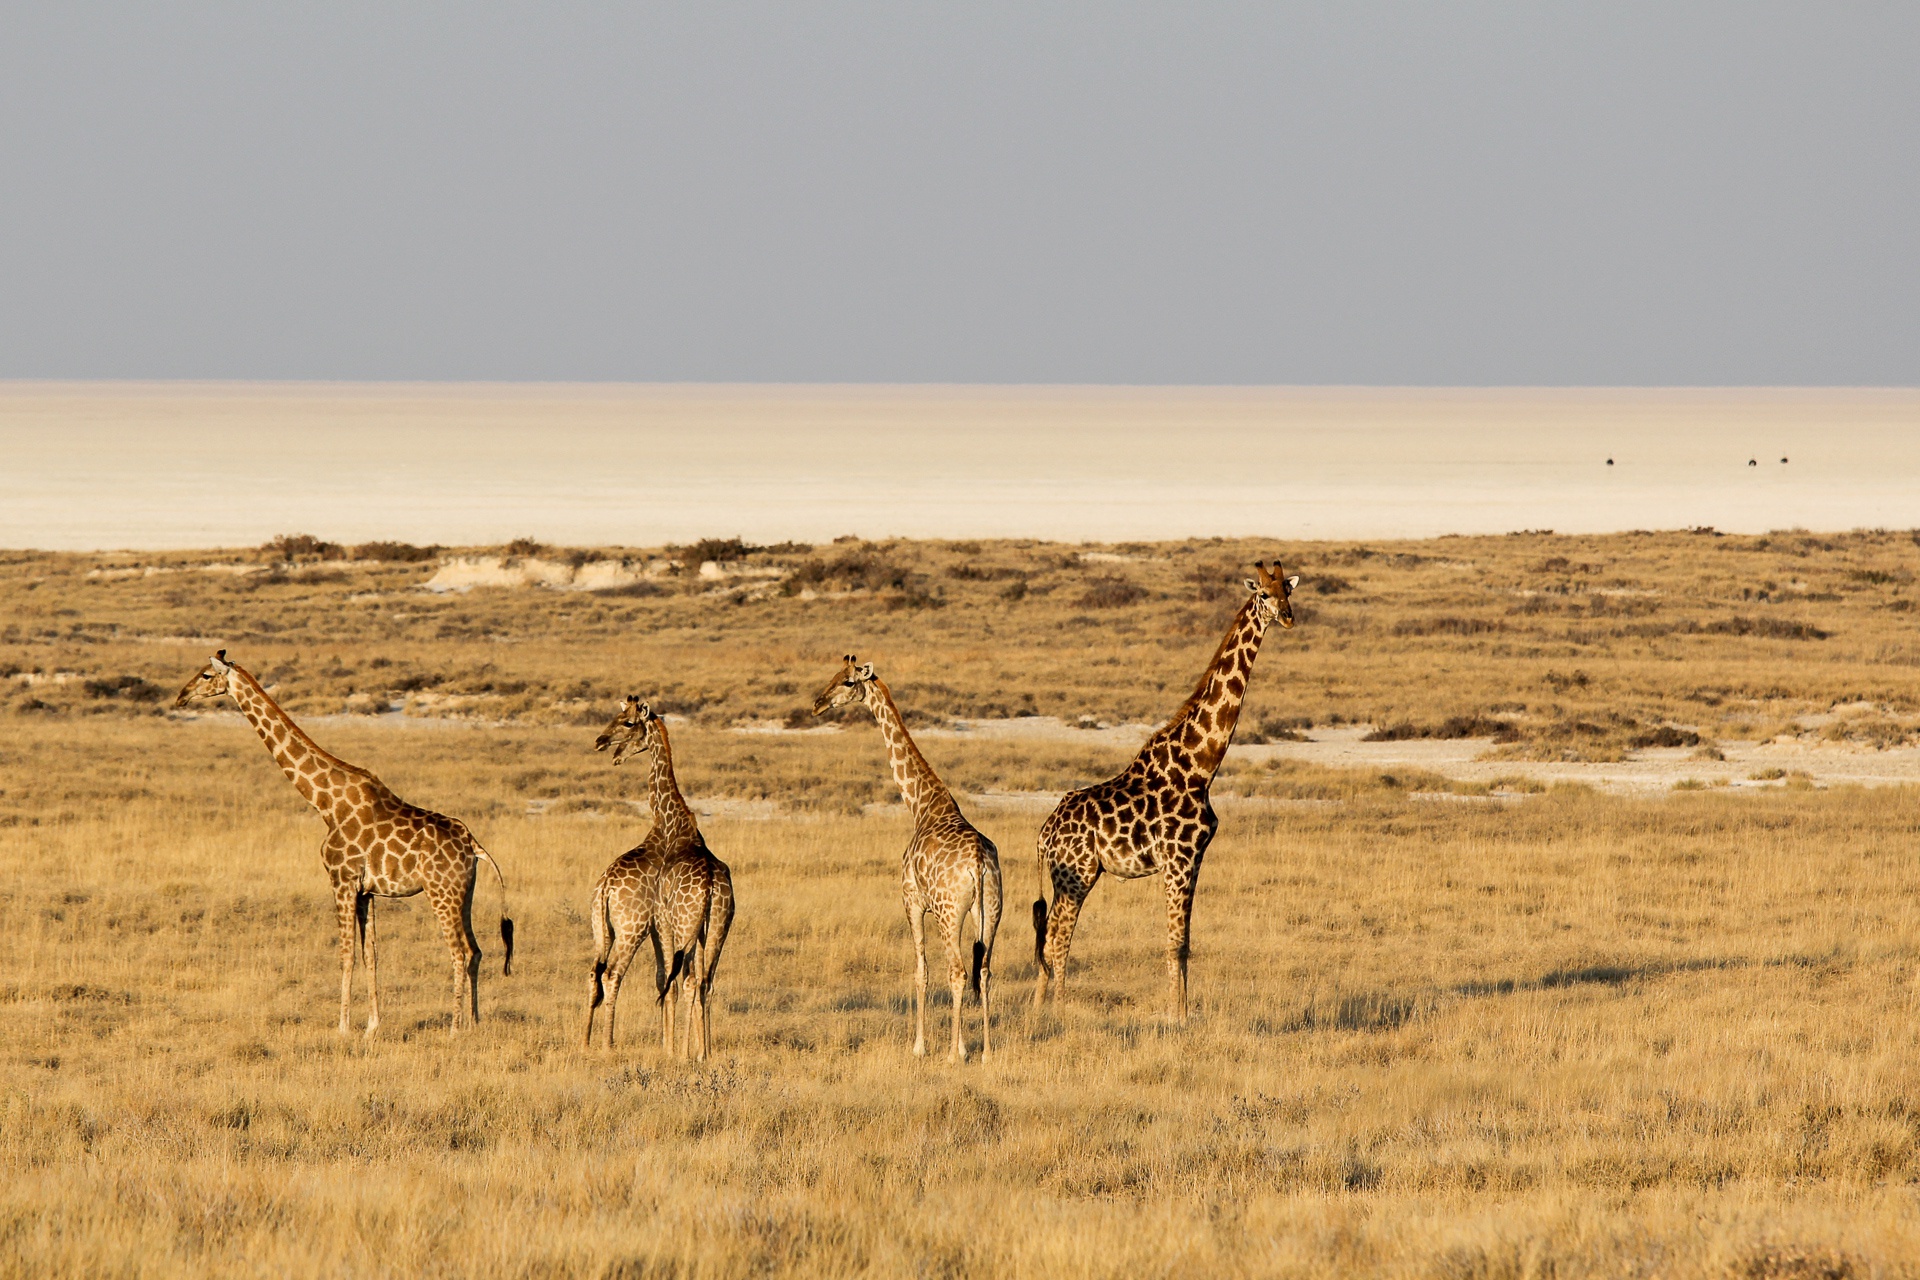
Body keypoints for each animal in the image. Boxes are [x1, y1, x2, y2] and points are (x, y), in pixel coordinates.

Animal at [172, 656, 510, 1036]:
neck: (326, 803)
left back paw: (454, 1028)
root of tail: (474, 845)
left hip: (441, 892)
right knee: (476, 950)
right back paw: (474, 1023)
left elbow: (346, 954)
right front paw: (372, 1026)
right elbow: (370, 954)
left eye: (205, 675)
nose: (181, 696)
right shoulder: (367, 890)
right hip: (465, 892)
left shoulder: (341, 879)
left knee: (460, 952)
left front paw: (343, 1027)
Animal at [583, 702, 733, 1059]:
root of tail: (605, 887)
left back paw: (603, 1044)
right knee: (698, 981)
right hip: (694, 927)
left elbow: (667, 980)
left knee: (607, 973)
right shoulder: (668, 924)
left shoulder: (659, 923)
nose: (601, 742)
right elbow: (669, 979)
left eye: (628, 723)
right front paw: (680, 1048)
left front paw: (673, 1047)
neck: (670, 825)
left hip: (630, 927)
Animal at [810, 652, 1006, 1059]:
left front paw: (919, 1047)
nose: (817, 705)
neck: (922, 805)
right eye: (832, 675)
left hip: (950, 912)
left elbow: (920, 970)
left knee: (958, 971)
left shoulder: (911, 900)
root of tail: (978, 864)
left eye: (848, 682)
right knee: (984, 971)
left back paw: (954, 1054)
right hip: (991, 912)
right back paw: (986, 1051)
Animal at [1036, 564, 1305, 1028]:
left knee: (1045, 937)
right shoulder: (1178, 859)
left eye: (1286, 592)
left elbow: (1186, 943)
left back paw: (1036, 1011)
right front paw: (1178, 1016)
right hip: (1077, 874)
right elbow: (1175, 943)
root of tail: (1044, 833)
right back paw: (1059, 1011)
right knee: (1058, 939)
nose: (1288, 617)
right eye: (1263, 595)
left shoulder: (1195, 859)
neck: (1200, 766)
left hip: (1066, 876)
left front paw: (1183, 1010)